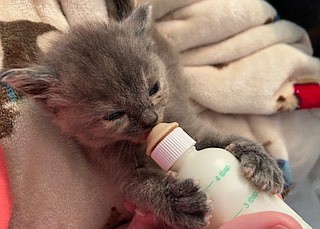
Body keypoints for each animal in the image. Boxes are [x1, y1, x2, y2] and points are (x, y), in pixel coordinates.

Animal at [1, 4, 284, 229]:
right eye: (114, 114)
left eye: (153, 88)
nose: (151, 119)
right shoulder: (118, 167)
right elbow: (141, 187)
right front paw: (178, 201)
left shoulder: (190, 127)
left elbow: (221, 138)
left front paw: (260, 161)